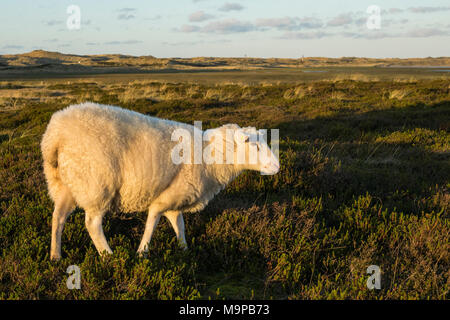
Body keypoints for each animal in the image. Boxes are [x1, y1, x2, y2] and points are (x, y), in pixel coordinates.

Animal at [43, 102, 282, 260]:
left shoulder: (177, 198)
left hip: (64, 183)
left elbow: (180, 226)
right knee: (92, 224)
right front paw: (142, 253)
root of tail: (55, 135)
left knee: (58, 217)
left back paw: (55, 256)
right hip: (97, 185)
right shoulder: (163, 198)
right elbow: (152, 223)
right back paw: (109, 257)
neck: (209, 156)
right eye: (255, 146)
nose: (277, 167)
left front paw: (184, 250)